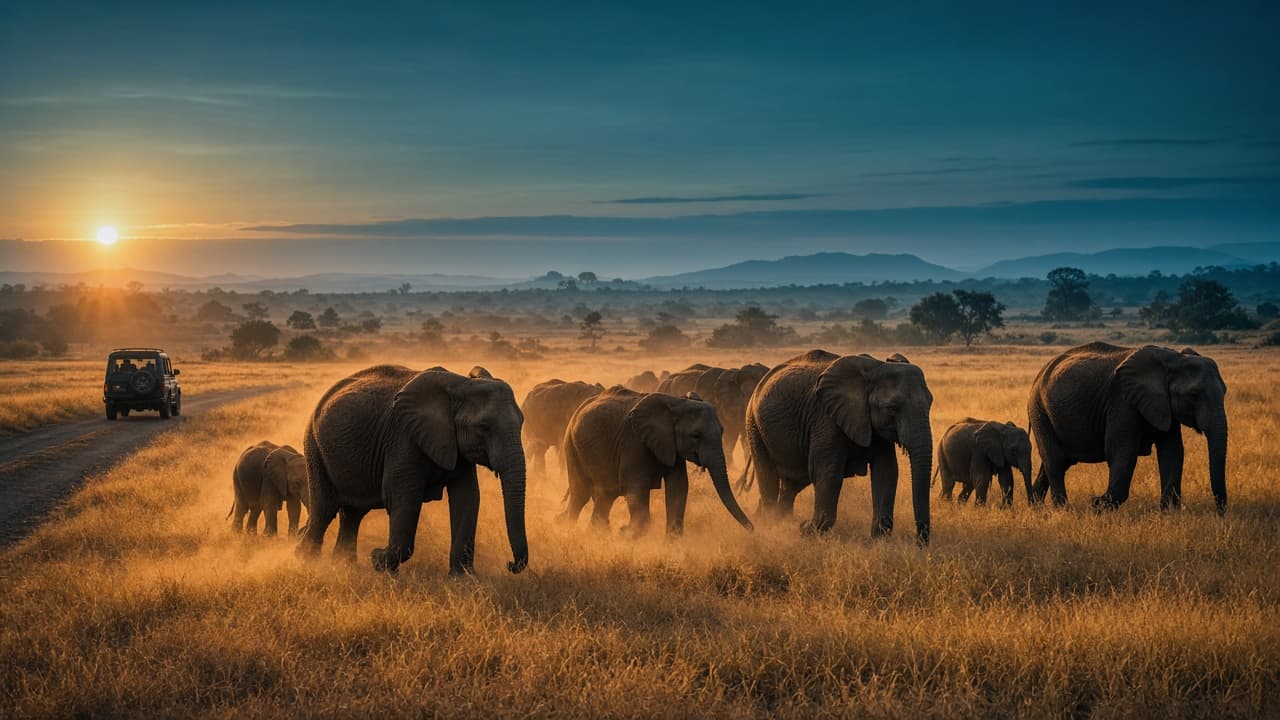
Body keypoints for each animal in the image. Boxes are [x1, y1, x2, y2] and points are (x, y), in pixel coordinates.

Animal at [299, 365, 528, 575]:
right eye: (483, 427)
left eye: (522, 423)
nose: (510, 564)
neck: (460, 385)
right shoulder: (403, 437)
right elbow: (403, 498)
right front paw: (378, 560)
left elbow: (468, 497)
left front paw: (463, 578)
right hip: (314, 446)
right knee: (324, 510)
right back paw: (307, 562)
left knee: (353, 514)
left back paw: (344, 566)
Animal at [559, 388, 754, 537]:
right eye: (695, 436)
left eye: (722, 431)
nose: (752, 530)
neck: (677, 403)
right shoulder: (634, 442)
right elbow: (636, 487)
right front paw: (626, 533)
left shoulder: (671, 446)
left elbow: (678, 486)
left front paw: (671, 542)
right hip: (571, 447)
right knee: (581, 494)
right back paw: (570, 531)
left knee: (604, 496)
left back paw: (595, 533)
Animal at [744, 350, 933, 543]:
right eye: (892, 408)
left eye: (930, 403)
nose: (920, 542)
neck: (876, 367)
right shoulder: (825, 418)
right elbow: (829, 472)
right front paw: (806, 530)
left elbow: (886, 471)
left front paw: (878, 540)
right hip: (754, 425)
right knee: (768, 477)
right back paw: (772, 525)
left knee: (792, 484)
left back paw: (783, 523)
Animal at [1027, 343, 1228, 513]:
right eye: (1193, 395)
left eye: (1225, 392)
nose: (1219, 513)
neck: (1174, 358)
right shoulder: (1122, 401)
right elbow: (1122, 451)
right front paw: (1096, 506)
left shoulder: (1163, 406)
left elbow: (1172, 451)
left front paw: (1168, 514)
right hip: (1040, 411)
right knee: (1056, 461)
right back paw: (1063, 511)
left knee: (1054, 463)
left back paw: (1035, 507)